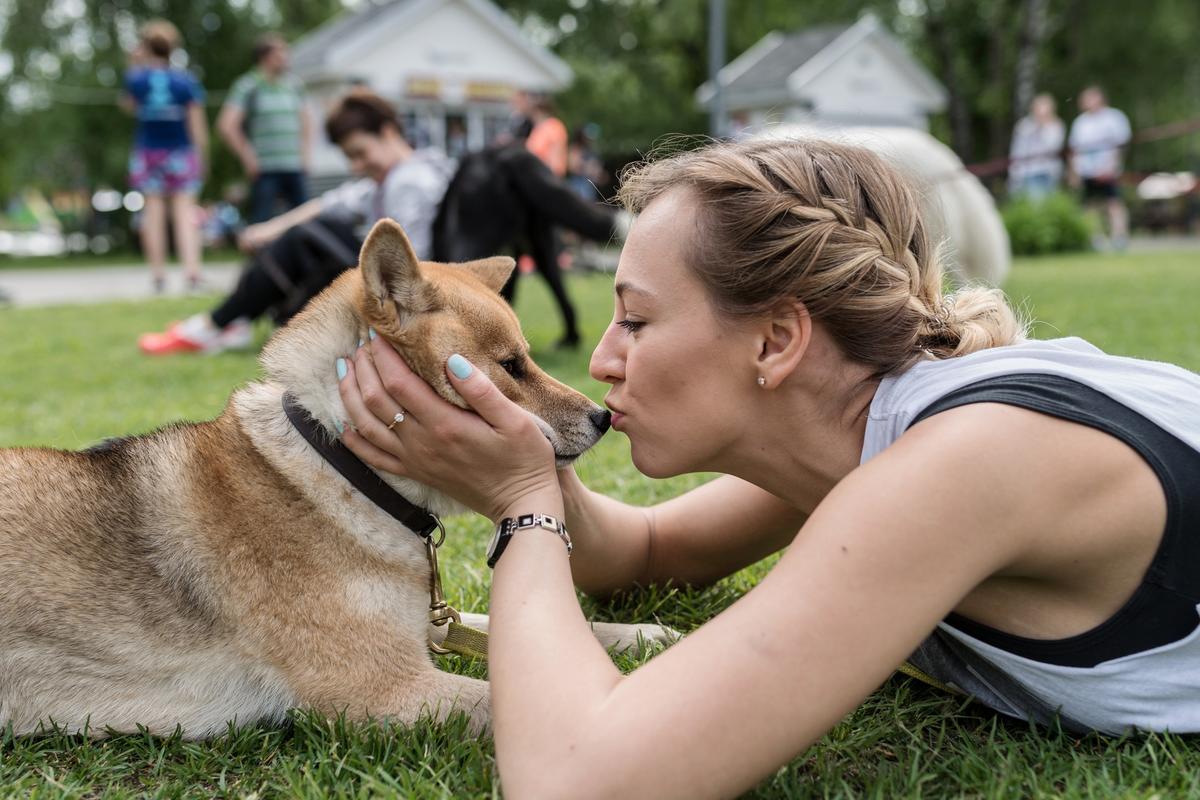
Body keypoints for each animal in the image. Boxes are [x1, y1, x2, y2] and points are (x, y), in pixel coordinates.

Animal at [0, 219, 667, 738]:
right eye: (511, 365)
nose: (603, 417)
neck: (339, 465)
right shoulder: (384, 689)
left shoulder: (423, 631)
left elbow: (544, 628)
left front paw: (642, 634)